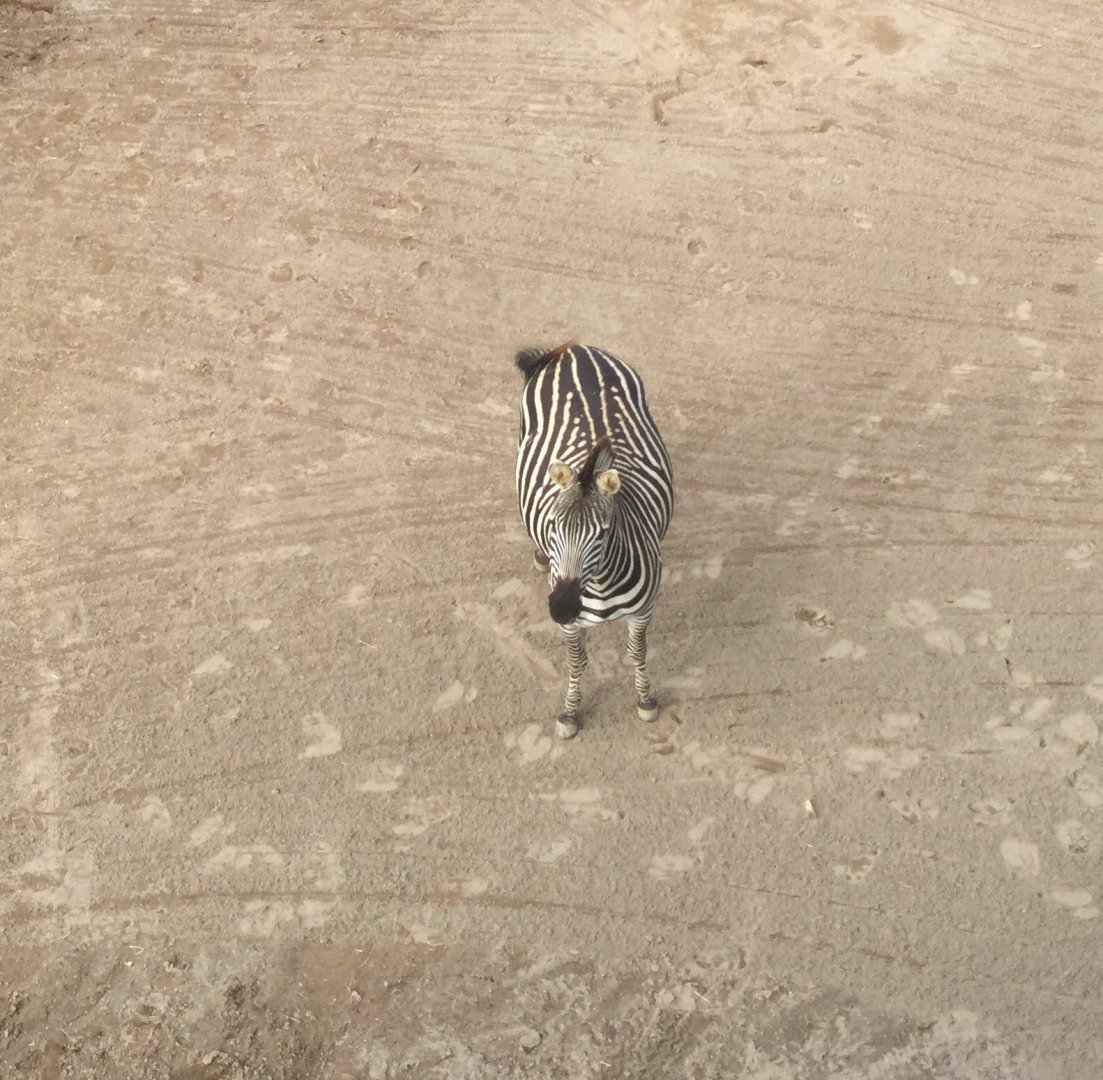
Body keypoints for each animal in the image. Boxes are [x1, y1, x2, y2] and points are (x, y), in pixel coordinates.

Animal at [514, 342, 674, 739]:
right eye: (553, 525)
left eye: (603, 533)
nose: (561, 606)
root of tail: (577, 349)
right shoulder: (571, 625)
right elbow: (577, 661)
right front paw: (570, 712)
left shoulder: (643, 611)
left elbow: (637, 652)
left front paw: (645, 700)